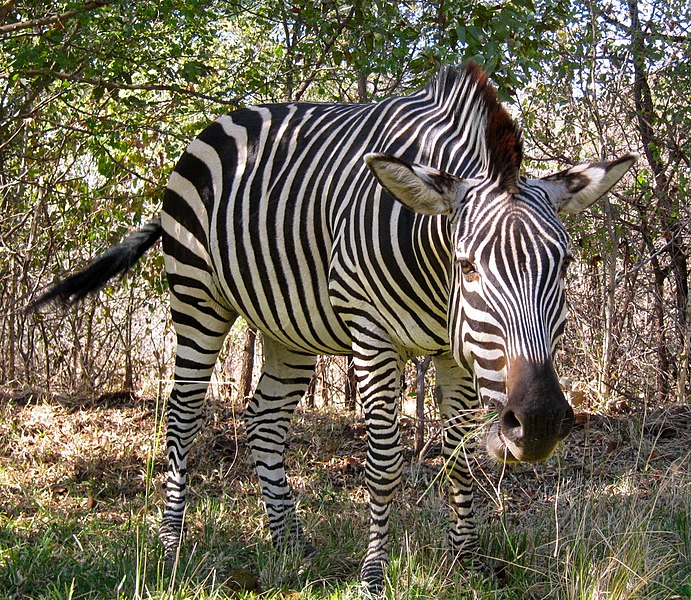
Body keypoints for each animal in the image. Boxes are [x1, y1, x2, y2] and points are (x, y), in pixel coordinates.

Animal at [32, 62, 636, 592]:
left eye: (563, 265)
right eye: (467, 266)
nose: (539, 423)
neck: (431, 261)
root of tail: (230, 118)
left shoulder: (455, 351)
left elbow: (461, 454)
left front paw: (470, 565)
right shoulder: (372, 335)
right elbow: (384, 462)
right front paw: (373, 577)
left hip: (289, 328)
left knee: (263, 421)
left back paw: (290, 546)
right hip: (198, 300)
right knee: (183, 418)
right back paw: (171, 549)